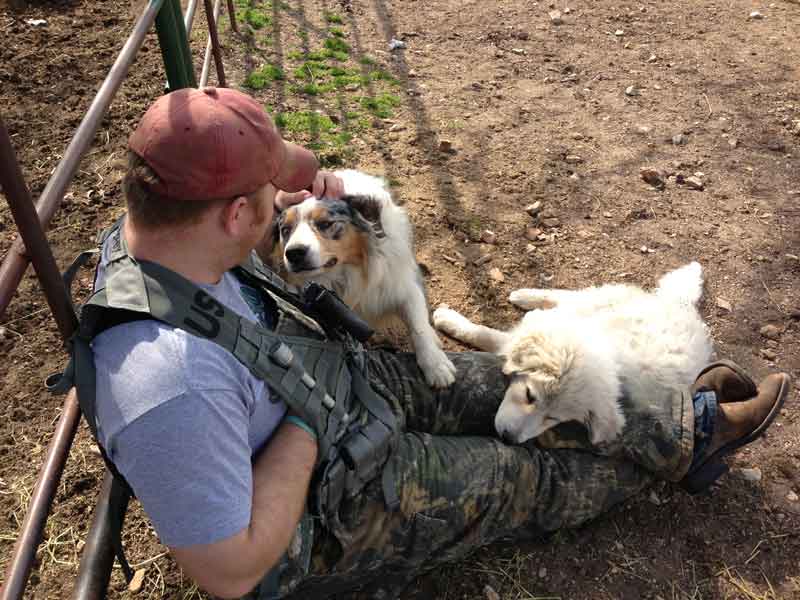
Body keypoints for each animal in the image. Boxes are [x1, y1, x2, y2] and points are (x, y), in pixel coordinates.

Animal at [271, 169, 456, 388]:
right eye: (285, 230)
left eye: (325, 224)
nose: (294, 253)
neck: (349, 272)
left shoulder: (401, 284)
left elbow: (418, 325)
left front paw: (436, 365)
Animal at [432, 262, 713, 443]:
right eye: (529, 395)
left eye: (552, 418)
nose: (509, 439)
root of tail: (680, 304)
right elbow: (487, 334)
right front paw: (449, 320)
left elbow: (492, 338)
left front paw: (449, 321)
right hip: (602, 299)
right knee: (568, 295)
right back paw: (525, 296)